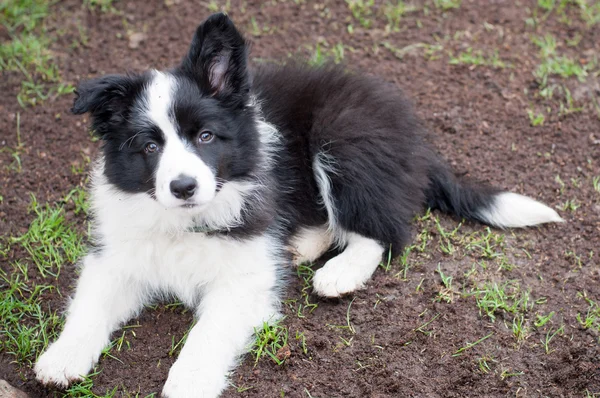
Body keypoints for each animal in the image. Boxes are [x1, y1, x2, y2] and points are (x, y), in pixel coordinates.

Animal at [36, 12, 564, 398]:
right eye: (148, 147)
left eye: (205, 137)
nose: (183, 186)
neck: (185, 222)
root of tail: (413, 136)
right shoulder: (117, 253)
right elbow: (90, 302)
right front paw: (61, 358)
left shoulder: (244, 278)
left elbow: (207, 333)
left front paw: (188, 382)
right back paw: (300, 246)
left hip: (344, 139)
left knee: (382, 229)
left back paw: (339, 273)